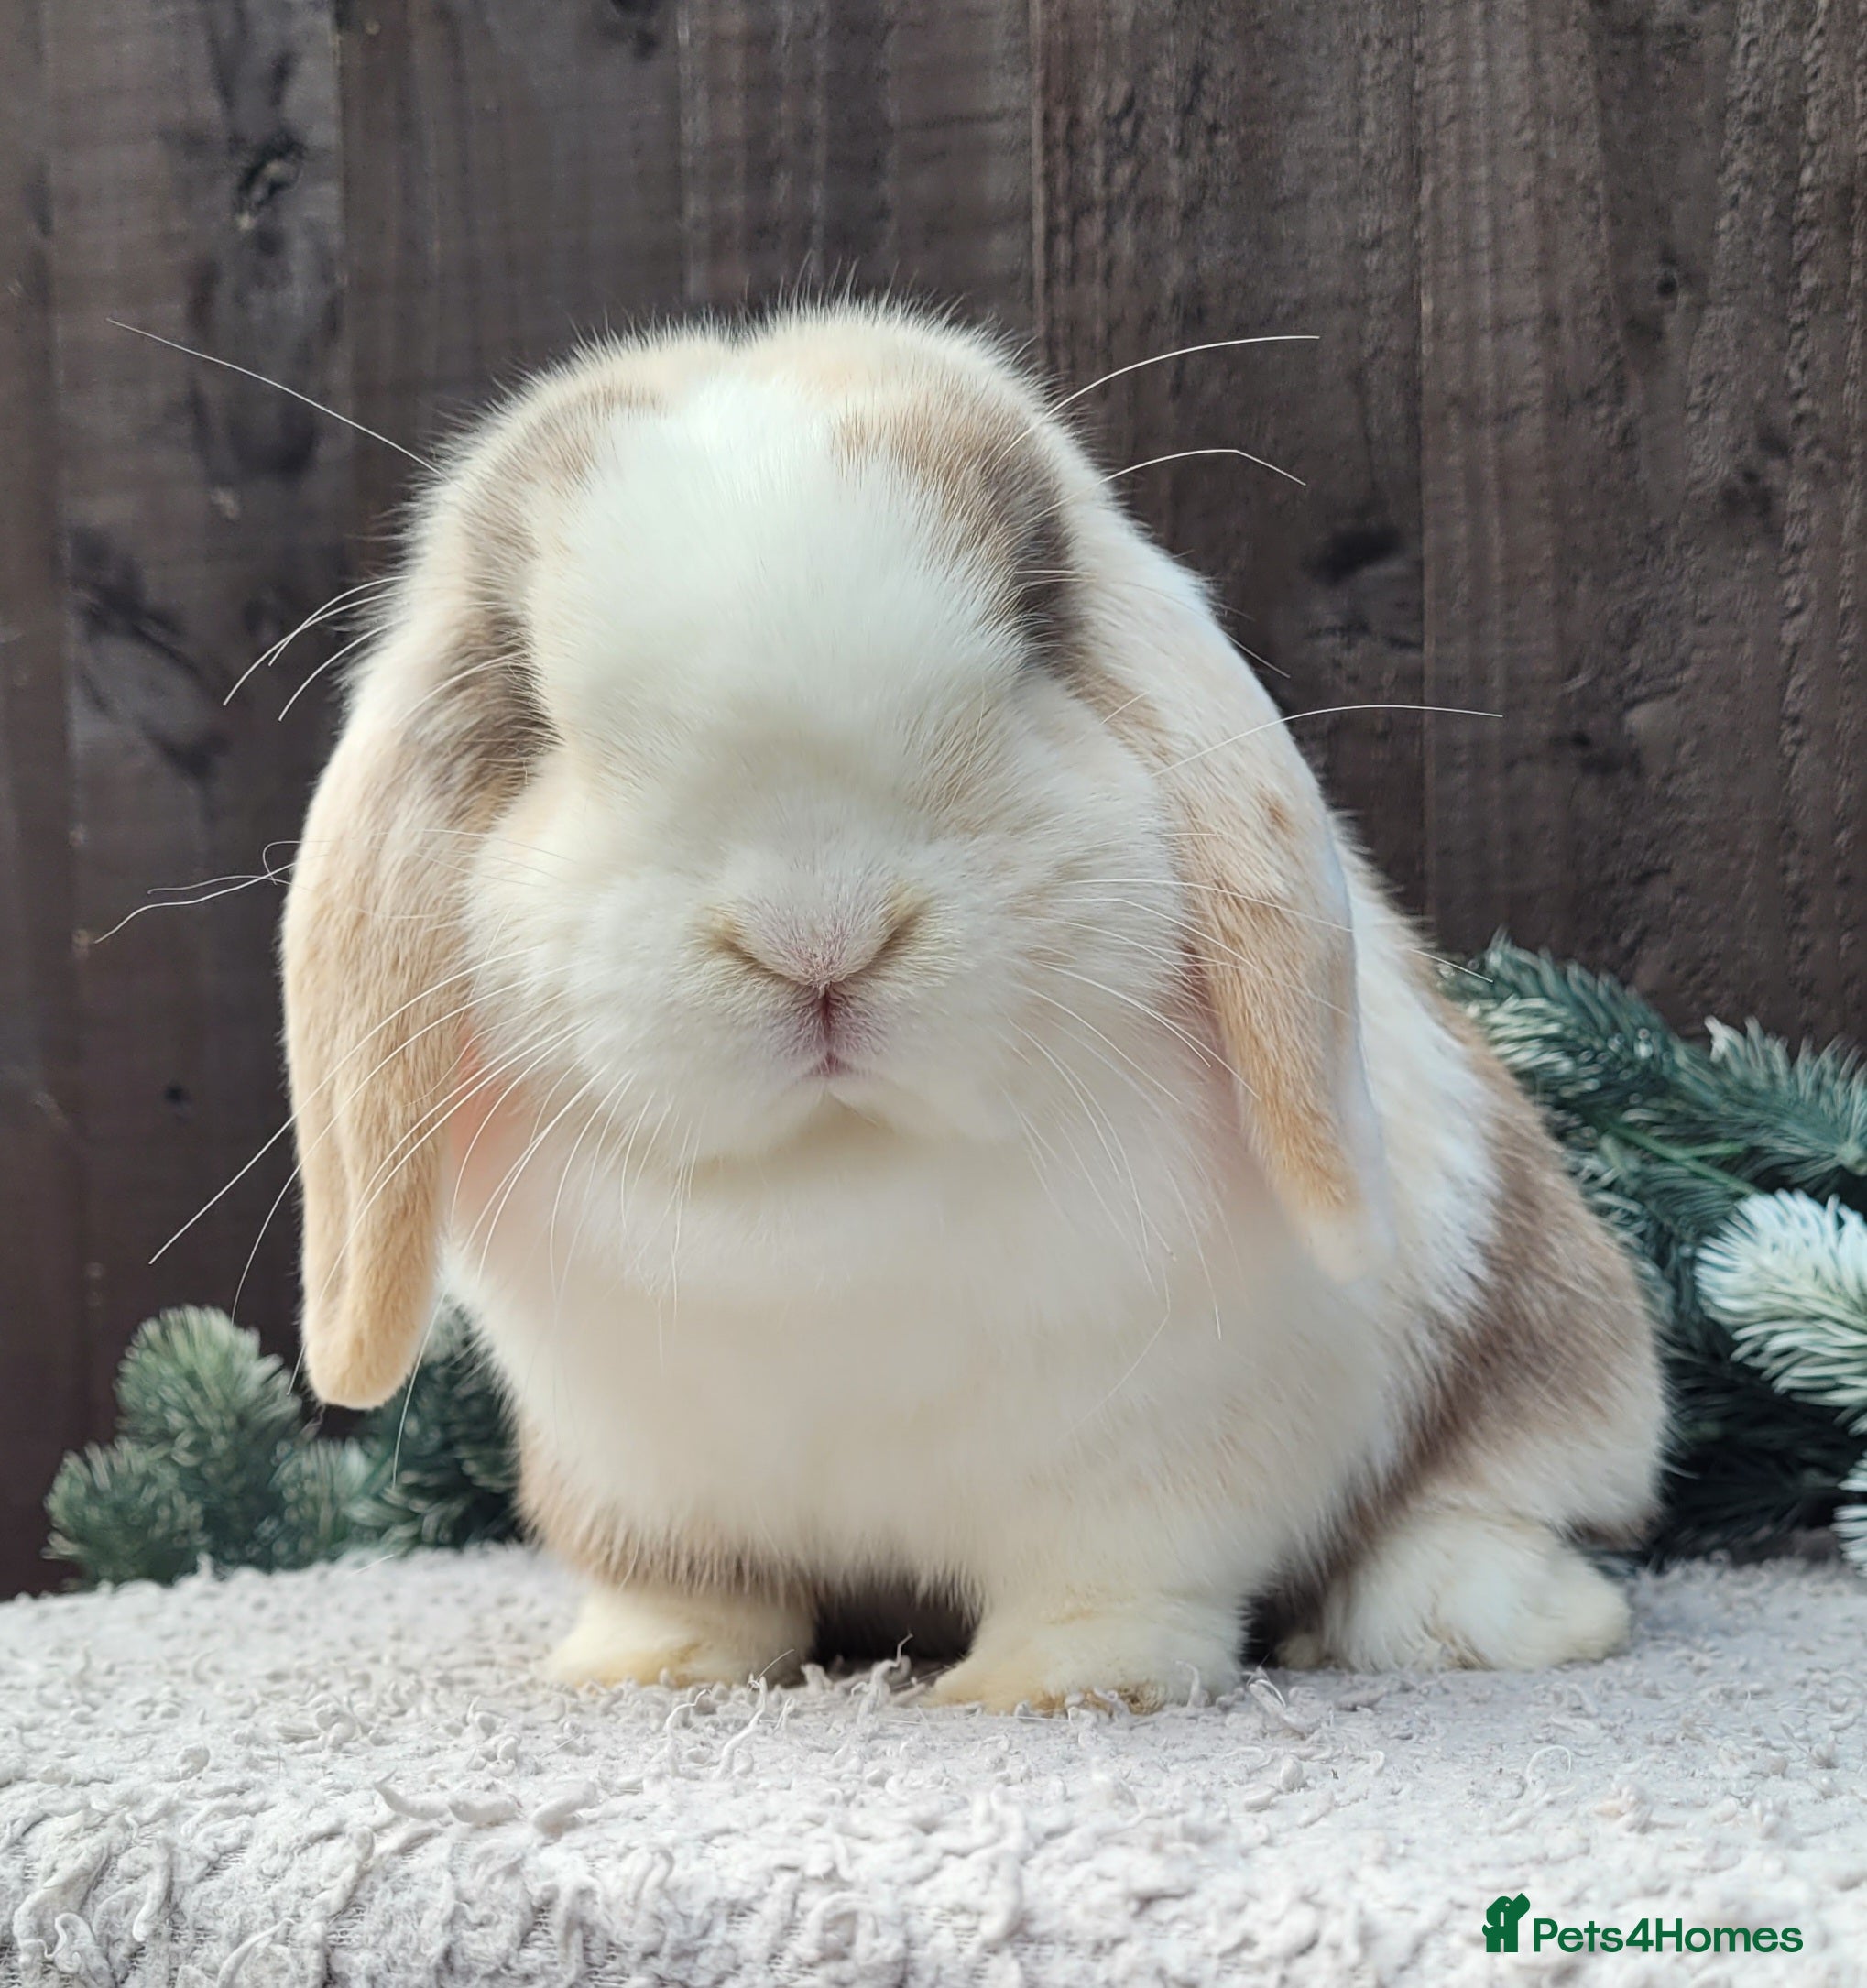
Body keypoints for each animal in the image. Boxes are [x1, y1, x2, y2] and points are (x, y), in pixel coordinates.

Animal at [281, 303, 1665, 1712]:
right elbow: (686, 1587)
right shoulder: (640, 1481)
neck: (836, 1180)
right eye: (541, 717)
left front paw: (1055, 1686)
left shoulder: (1151, 1461)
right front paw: (645, 1670)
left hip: (1546, 1334)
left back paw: (1474, 1620)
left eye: (1028, 639)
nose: (819, 934)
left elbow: (1114, 1581)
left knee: (1505, 1502)